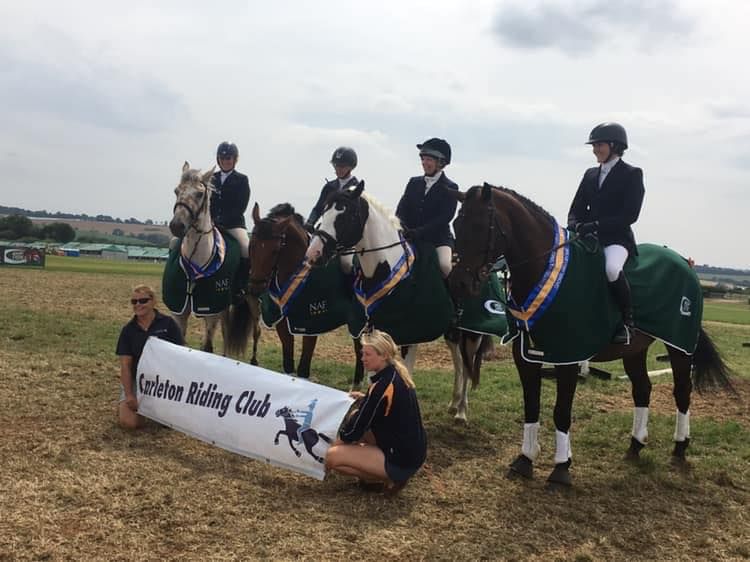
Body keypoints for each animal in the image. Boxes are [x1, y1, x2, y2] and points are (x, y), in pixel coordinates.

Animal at [250, 201, 364, 380]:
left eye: (275, 251)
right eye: (252, 245)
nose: (256, 287)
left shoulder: (311, 325)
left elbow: (303, 369)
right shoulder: (281, 321)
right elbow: (288, 363)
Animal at [450, 184, 732, 486]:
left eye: (480, 226)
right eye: (456, 224)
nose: (459, 284)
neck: (543, 270)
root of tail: (683, 261)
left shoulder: (568, 356)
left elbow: (561, 411)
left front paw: (561, 468)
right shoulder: (525, 357)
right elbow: (531, 406)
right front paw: (525, 460)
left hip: (679, 346)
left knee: (682, 391)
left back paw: (680, 447)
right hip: (634, 349)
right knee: (642, 389)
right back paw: (635, 445)